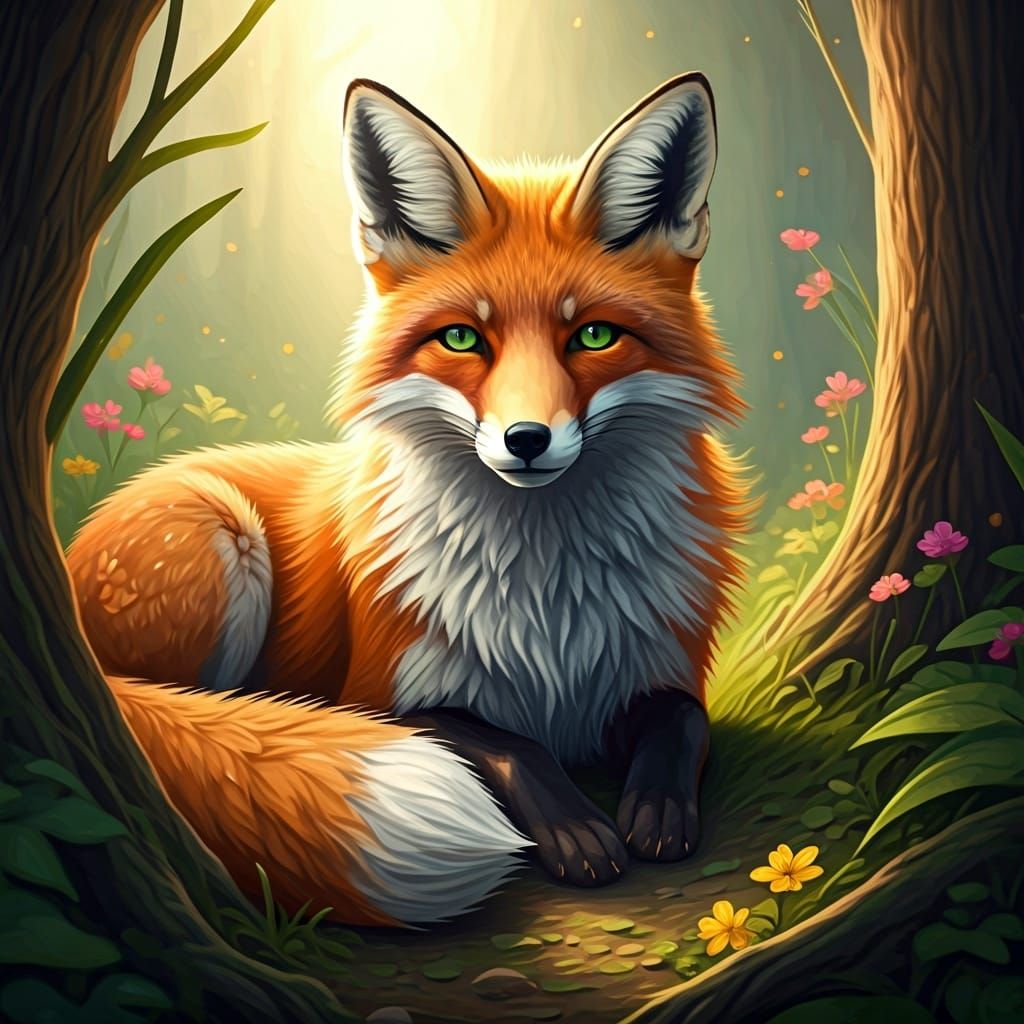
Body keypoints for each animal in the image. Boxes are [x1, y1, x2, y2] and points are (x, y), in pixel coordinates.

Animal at [67, 73, 748, 927]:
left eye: (592, 336)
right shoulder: (385, 695)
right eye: (462, 339)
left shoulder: (654, 669)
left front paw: (658, 808)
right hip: (225, 542)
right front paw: (575, 828)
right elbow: (506, 743)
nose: (527, 439)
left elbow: (683, 721)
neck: (548, 601)